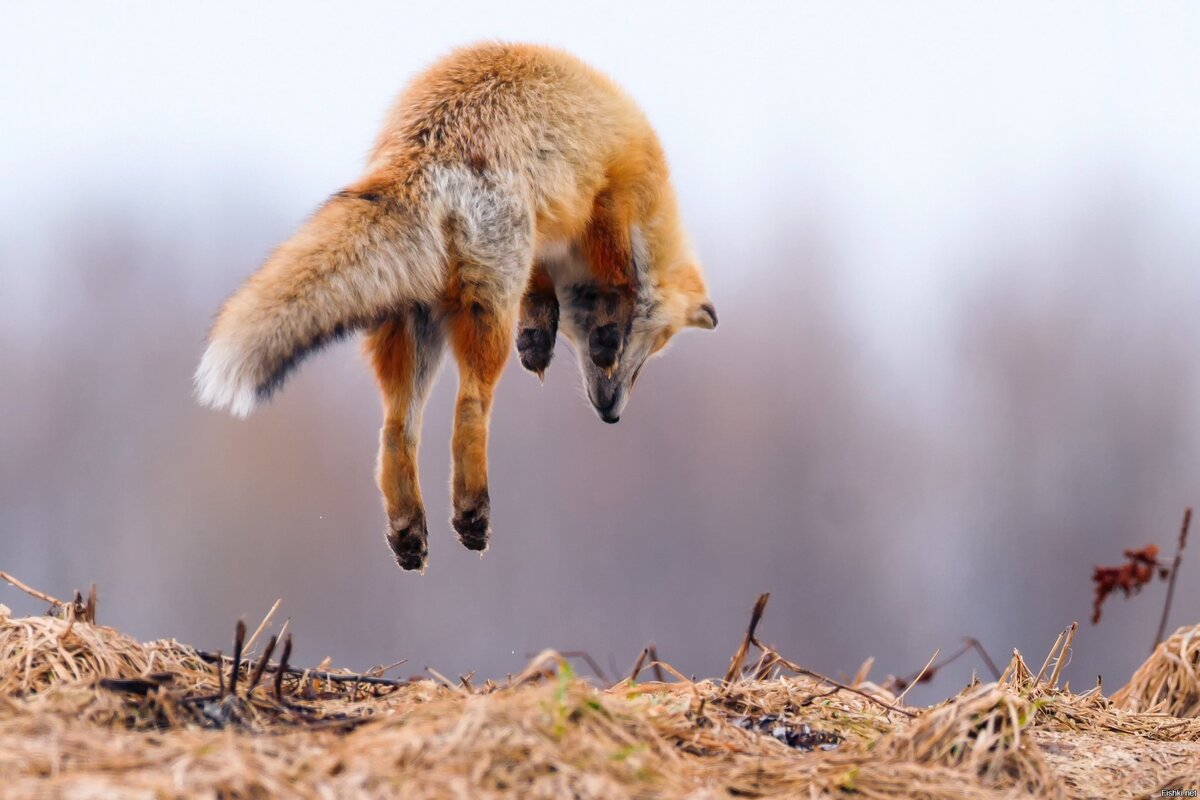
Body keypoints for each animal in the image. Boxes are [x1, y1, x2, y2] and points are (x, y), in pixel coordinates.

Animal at [196, 43, 715, 573]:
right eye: (644, 355)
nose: (611, 415)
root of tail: (421, 150)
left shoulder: (544, 238)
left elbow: (545, 293)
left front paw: (540, 337)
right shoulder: (609, 193)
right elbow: (617, 277)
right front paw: (603, 327)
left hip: (416, 333)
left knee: (396, 430)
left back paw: (408, 531)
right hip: (488, 313)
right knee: (469, 408)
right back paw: (472, 513)